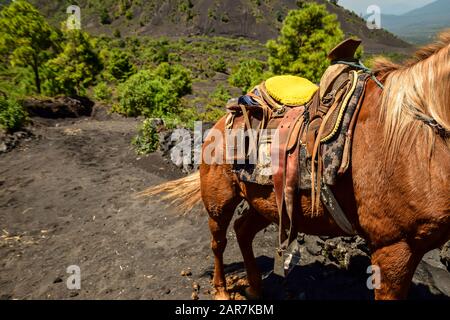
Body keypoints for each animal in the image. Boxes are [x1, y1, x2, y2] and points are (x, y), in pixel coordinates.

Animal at [143, 32, 450, 300]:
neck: (415, 137)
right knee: (219, 242)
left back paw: (255, 287)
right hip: (220, 201)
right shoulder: (394, 248)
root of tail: (224, 117)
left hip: (265, 203)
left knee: (243, 230)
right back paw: (221, 291)